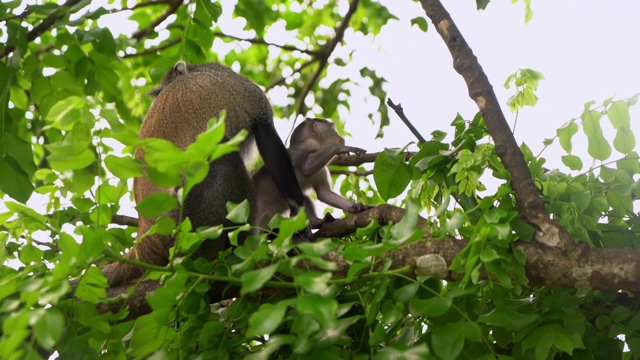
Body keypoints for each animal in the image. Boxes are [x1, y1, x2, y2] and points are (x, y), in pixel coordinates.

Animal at [102, 62, 308, 286]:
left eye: (158, 93)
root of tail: (148, 233)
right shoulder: (241, 89)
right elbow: (268, 139)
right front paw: (301, 221)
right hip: (187, 222)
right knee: (220, 157)